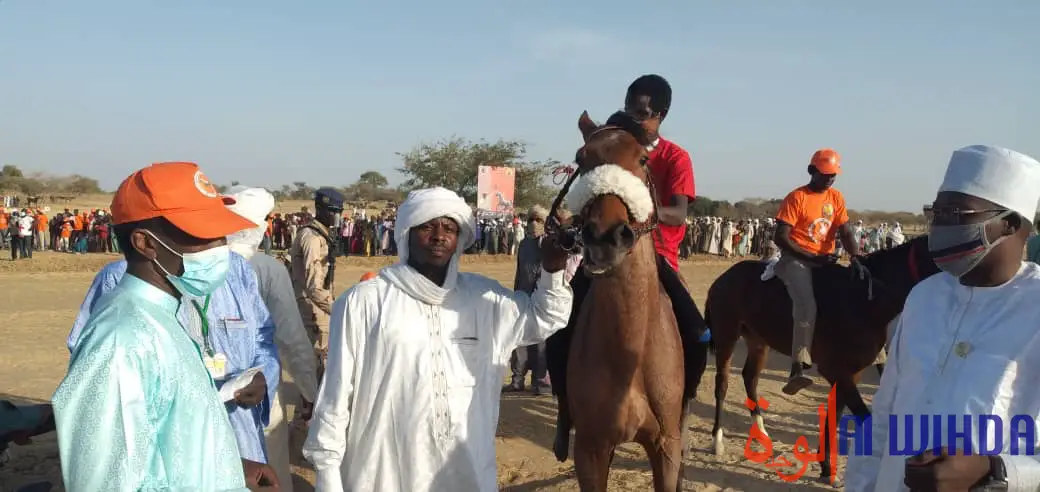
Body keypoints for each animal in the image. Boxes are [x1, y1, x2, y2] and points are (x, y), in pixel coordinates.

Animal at [703, 235, 940, 482]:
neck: (865, 301)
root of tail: (724, 277)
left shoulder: (851, 372)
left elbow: (835, 413)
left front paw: (826, 466)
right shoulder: (835, 370)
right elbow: (865, 419)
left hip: (758, 340)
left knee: (750, 377)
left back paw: (760, 431)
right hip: (726, 335)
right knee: (722, 383)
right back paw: (717, 440)